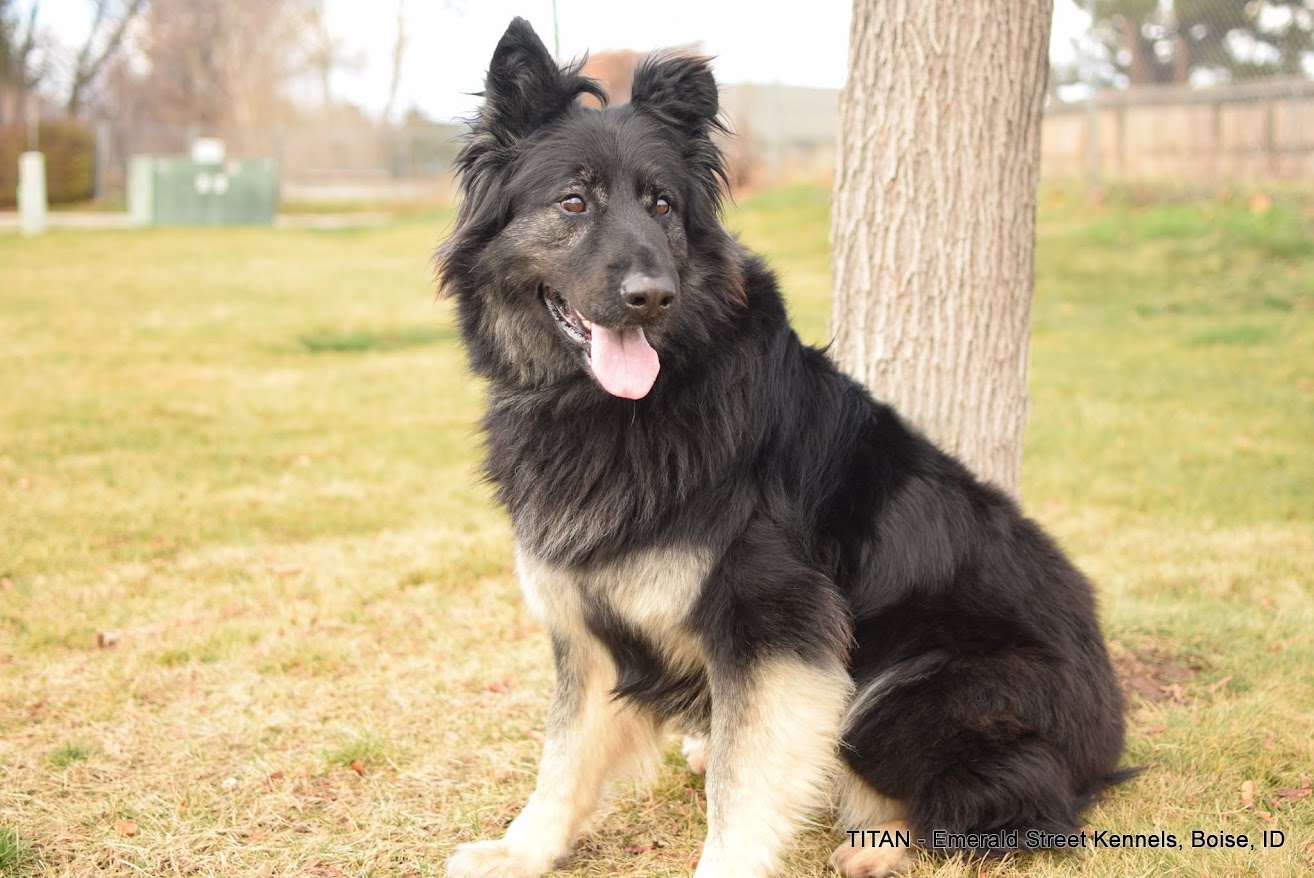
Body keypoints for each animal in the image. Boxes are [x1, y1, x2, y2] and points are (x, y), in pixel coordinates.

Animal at [440, 18, 1129, 878]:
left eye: (662, 205)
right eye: (573, 201)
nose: (652, 296)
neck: (623, 410)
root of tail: (1110, 735)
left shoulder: (771, 628)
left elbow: (743, 784)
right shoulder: (587, 620)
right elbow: (564, 754)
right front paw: (522, 849)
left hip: (906, 693)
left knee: (1019, 806)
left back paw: (883, 845)